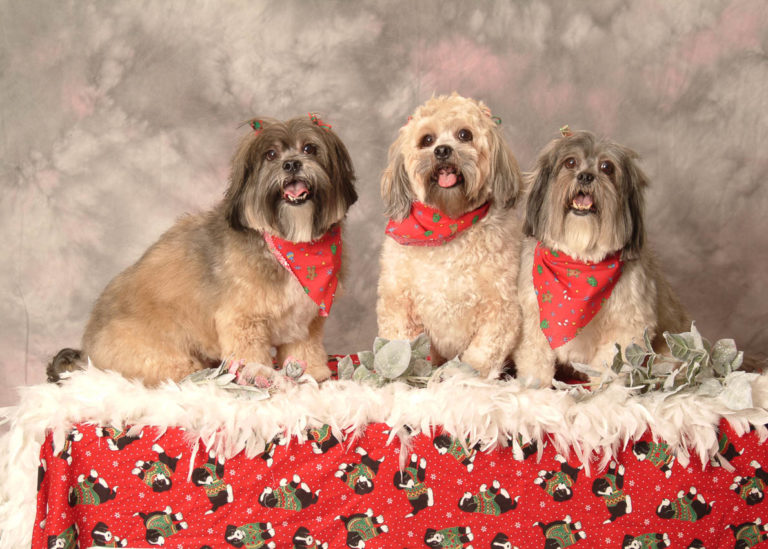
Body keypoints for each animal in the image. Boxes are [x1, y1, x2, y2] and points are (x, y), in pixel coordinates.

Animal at [48, 113, 356, 384]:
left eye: (310, 148)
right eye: (270, 155)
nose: (291, 164)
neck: (289, 247)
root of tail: (87, 354)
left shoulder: (303, 320)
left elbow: (303, 348)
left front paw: (313, 372)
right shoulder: (243, 321)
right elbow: (251, 354)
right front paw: (259, 377)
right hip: (163, 356)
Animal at [376, 94, 520, 376]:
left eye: (465, 134)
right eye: (427, 140)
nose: (442, 150)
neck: (448, 224)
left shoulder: (501, 308)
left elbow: (482, 353)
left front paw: (461, 378)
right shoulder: (398, 303)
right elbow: (403, 345)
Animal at [512, 130, 688, 386]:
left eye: (607, 167)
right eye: (570, 162)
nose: (586, 176)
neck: (580, 263)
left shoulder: (626, 327)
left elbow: (609, 364)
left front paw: (605, 391)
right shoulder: (534, 320)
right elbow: (535, 359)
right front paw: (533, 388)